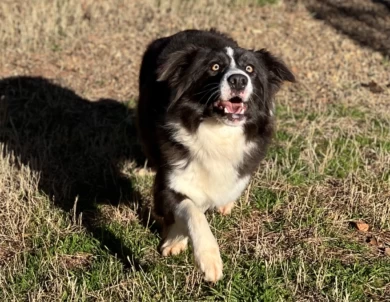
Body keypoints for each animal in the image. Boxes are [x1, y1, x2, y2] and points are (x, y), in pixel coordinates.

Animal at [137, 29, 296, 282]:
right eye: (214, 67)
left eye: (250, 68)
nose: (239, 79)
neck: (219, 131)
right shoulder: (169, 180)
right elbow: (192, 209)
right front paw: (207, 258)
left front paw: (177, 240)